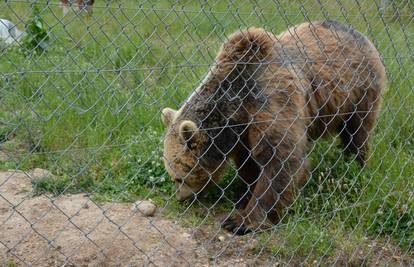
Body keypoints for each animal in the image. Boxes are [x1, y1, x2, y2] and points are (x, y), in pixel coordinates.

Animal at [161, 20, 384, 234]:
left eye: (179, 177)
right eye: (174, 176)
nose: (180, 198)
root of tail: (360, 34)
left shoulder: (271, 99)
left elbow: (281, 157)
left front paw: (241, 222)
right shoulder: (243, 129)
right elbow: (249, 163)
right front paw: (244, 196)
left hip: (359, 91)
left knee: (357, 133)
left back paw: (356, 166)